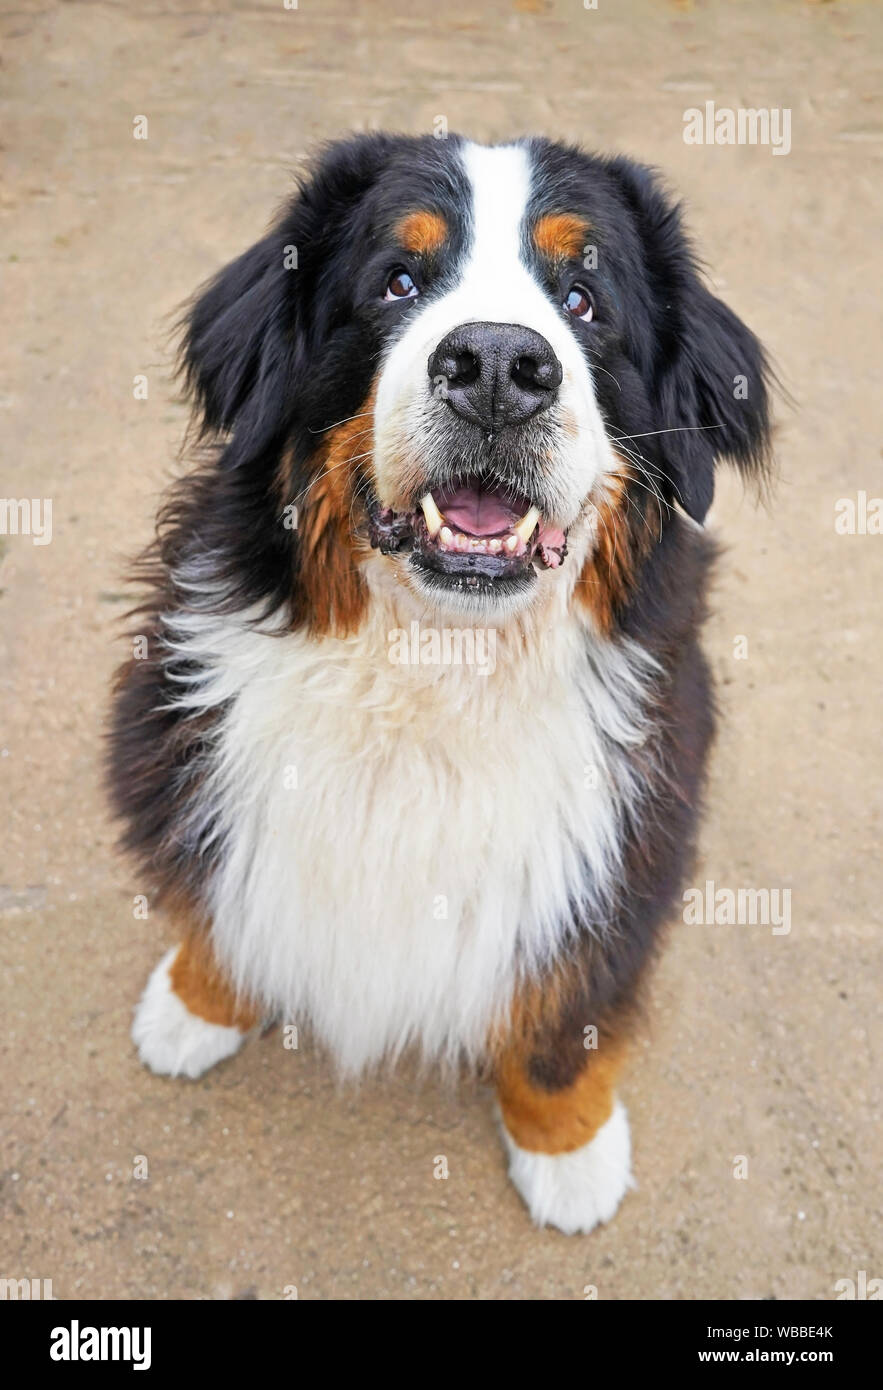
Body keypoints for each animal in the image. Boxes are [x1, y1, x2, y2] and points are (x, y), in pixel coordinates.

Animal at [110, 135, 773, 1234]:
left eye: (583, 297)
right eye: (398, 281)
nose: (500, 366)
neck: (433, 673)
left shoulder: (621, 851)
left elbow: (559, 1019)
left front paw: (569, 1150)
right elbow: (220, 901)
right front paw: (199, 1002)